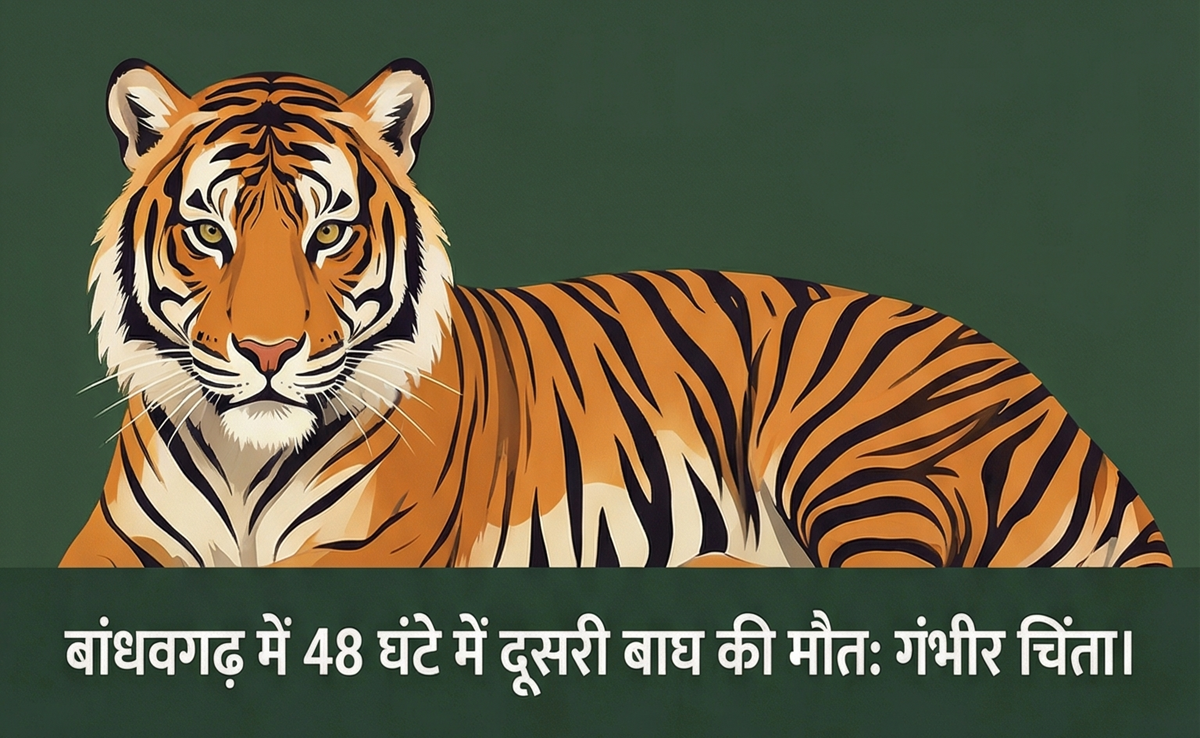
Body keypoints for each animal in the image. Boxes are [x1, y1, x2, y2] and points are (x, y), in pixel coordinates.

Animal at [60, 58, 1171, 568]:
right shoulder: (114, 548)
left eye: (328, 233)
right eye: (210, 233)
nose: (267, 350)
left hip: (856, 446)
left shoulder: (365, 558)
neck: (245, 461)